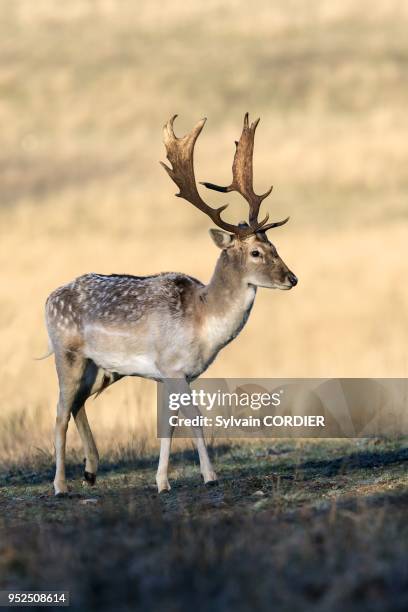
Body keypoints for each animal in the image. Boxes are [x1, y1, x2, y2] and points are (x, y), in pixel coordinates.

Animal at [43, 115, 296, 494]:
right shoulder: (173, 366)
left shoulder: (171, 374)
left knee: (76, 405)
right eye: (256, 252)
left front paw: (162, 481)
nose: (292, 278)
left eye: (275, 246)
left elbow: (168, 424)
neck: (204, 322)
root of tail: (48, 299)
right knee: (60, 411)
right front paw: (210, 475)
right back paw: (61, 485)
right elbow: (194, 418)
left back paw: (90, 472)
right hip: (67, 354)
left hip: (99, 366)